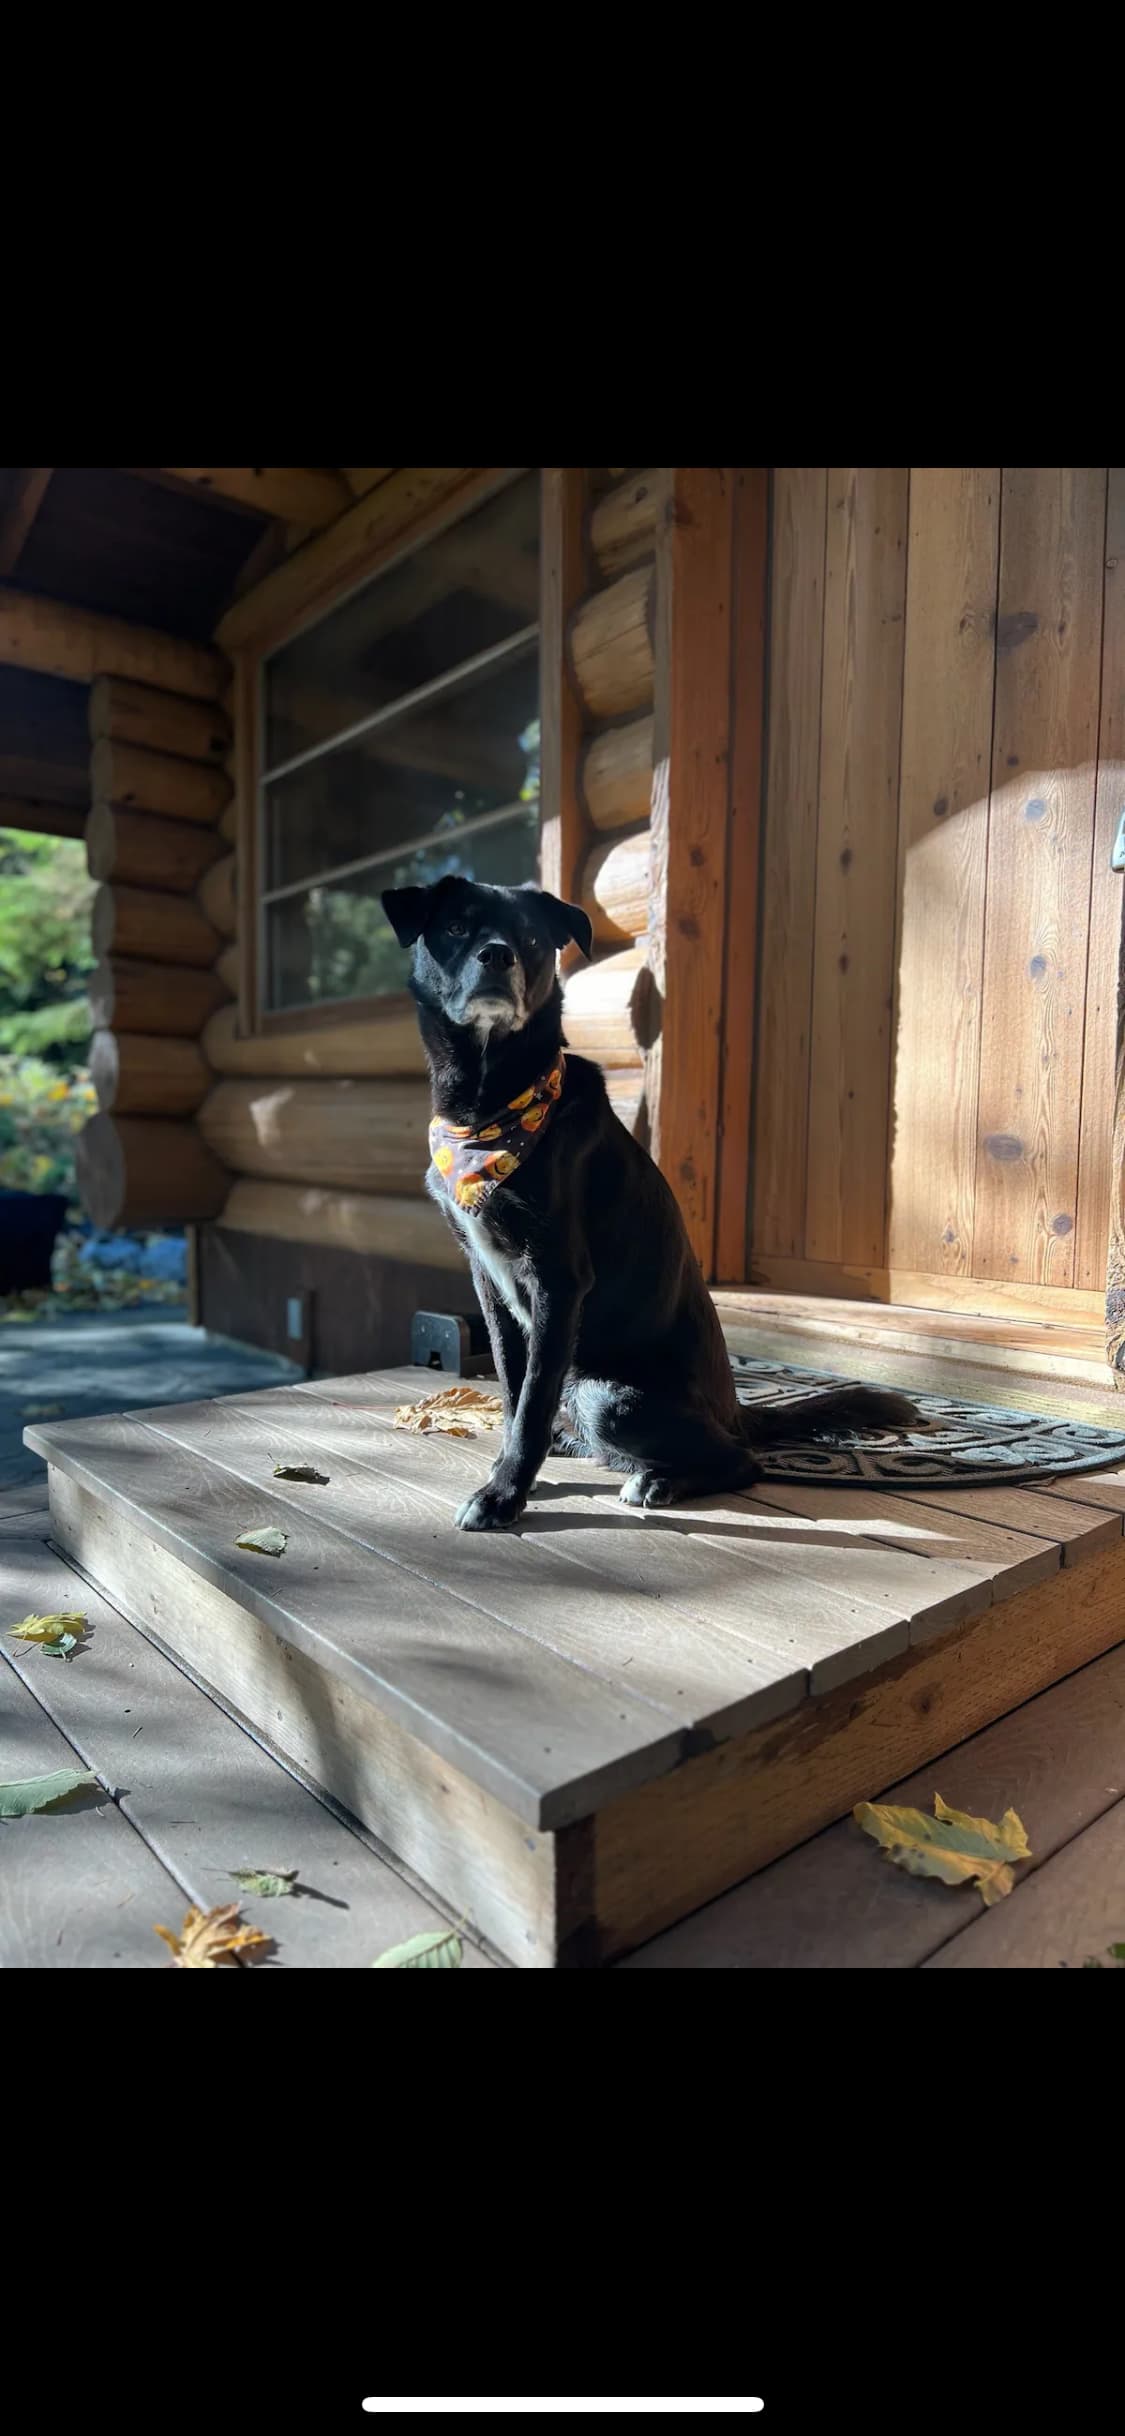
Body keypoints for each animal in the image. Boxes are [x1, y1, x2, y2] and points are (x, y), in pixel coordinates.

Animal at [382, 872, 920, 1520]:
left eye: (530, 937)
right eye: (457, 926)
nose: (497, 955)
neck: (490, 1108)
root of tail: (736, 1410)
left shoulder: (557, 1279)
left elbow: (532, 1401)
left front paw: (504, 1493)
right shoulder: (488, 1279)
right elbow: (514, 1390)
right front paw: (510, 1472)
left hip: (603, 1392)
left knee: (741, 1461)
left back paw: (658, 1479)